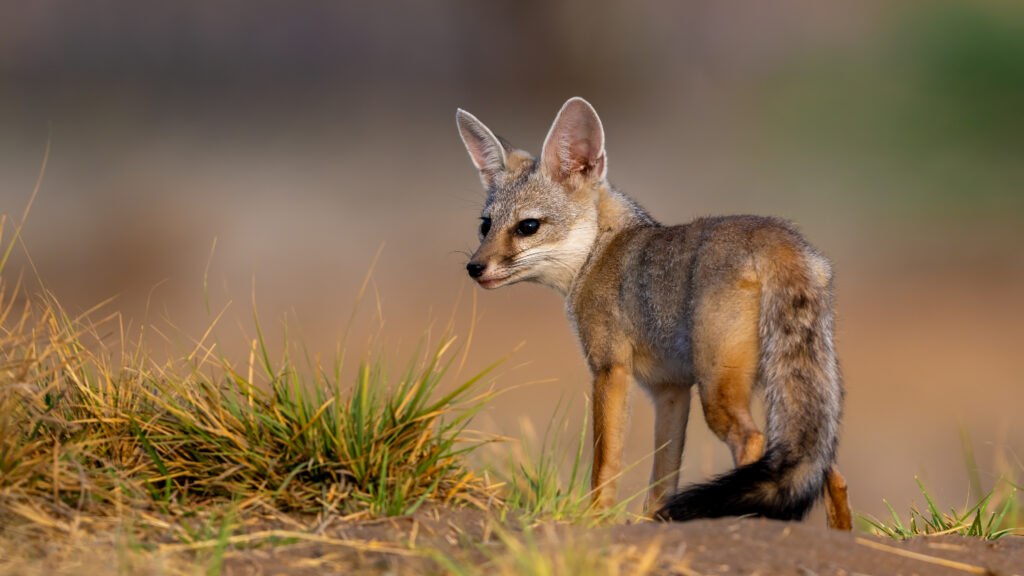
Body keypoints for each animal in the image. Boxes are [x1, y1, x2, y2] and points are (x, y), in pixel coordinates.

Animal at [455, 97, 852, 529]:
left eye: (528, 226)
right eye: (485, 226)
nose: (474, 268)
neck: (600, 250)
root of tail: (778, 236)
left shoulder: (610, 369)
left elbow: (605, 464)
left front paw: (596, 520)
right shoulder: (670, 390)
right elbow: (662, 478)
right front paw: (652, 523)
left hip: (719, 391)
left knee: (754, 442)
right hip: (789, 390)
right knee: (830, 471)